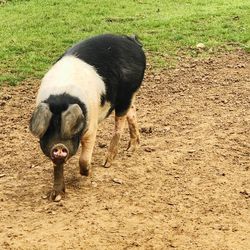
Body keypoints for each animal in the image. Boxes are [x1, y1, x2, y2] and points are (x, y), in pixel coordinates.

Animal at [30, 33, 146, 201]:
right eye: (49, 129)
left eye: (69, 127)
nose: (59, 146)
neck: (61, 98)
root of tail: (132, 40)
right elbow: (57, 166)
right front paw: (56, 196)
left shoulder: (91, 127)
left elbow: (84, 158)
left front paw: (87, 172)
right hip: (127, 97)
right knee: (132, 111)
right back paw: (131, 149)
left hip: (127, 92)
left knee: (120, 123)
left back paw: (107, 163)